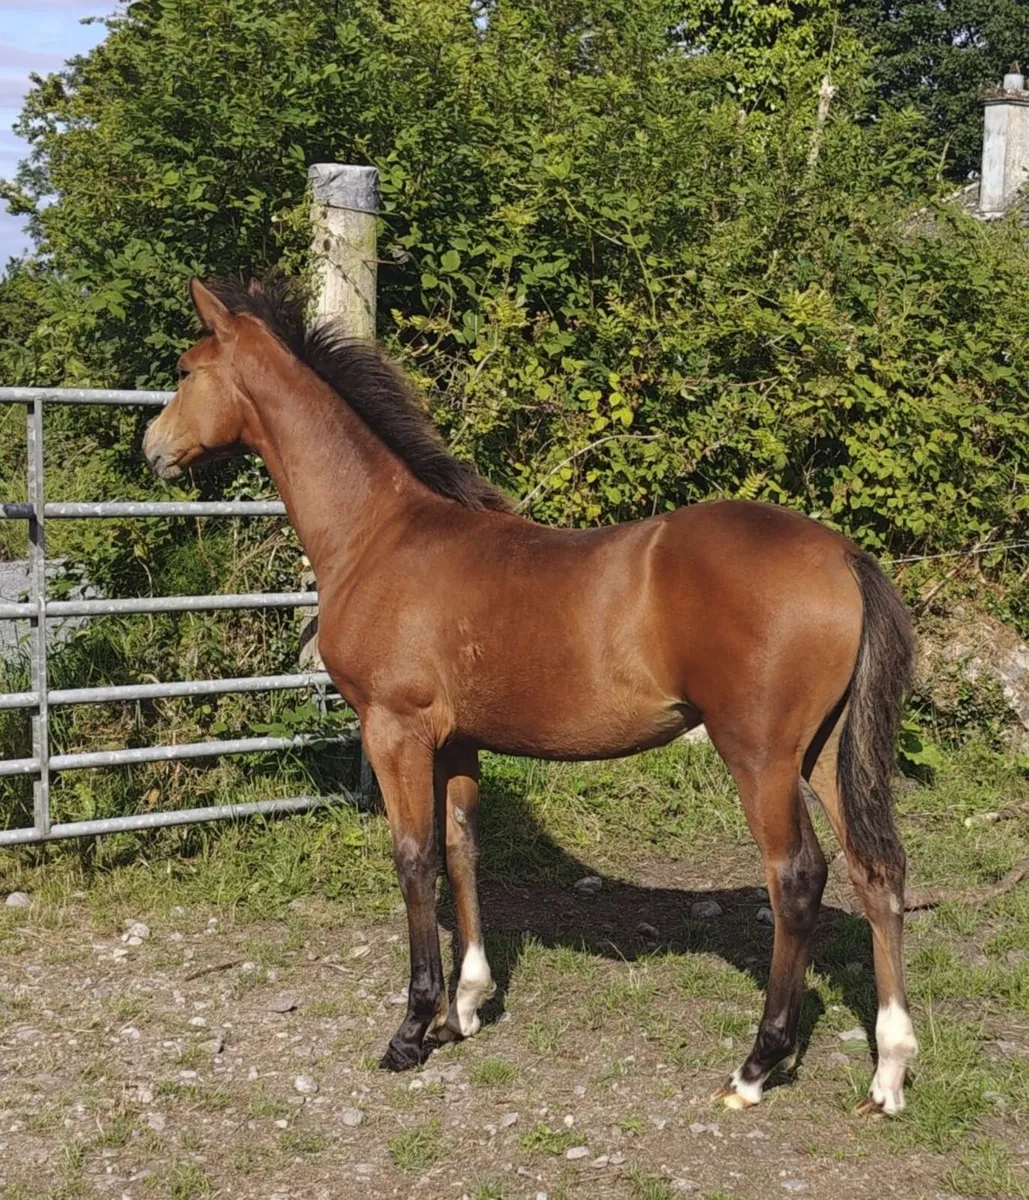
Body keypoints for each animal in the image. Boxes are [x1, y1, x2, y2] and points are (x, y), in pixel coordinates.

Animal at [142, 275, 918, 1116]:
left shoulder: (394, 730)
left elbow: (414, 859)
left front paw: (411, 1030)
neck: (378, 535)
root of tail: (839, 554)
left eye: (185, 370)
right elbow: (461, 851)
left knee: (797, 879)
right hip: (824, 752)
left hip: (760, 755)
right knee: (876, 871)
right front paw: (465, 1007)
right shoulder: (454, 741)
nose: (152, 448)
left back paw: (754, 1067)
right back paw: (888, 1069)